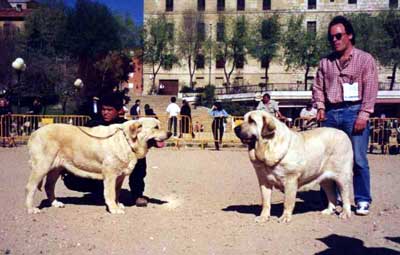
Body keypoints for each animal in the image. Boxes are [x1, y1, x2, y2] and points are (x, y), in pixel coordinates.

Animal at [24, 118, 172, 214]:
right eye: (156, 127)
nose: (170, 133)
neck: (127, 140)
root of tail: (34, 133)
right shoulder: (110, 175)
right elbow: (110, 193)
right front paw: (114, 209)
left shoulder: (119, 177)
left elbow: (117, 193)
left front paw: (117, 205)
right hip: (42, 166)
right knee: (30, 187)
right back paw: (31, 208)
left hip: (56, 169)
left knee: (49, 186)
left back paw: (55, 203)